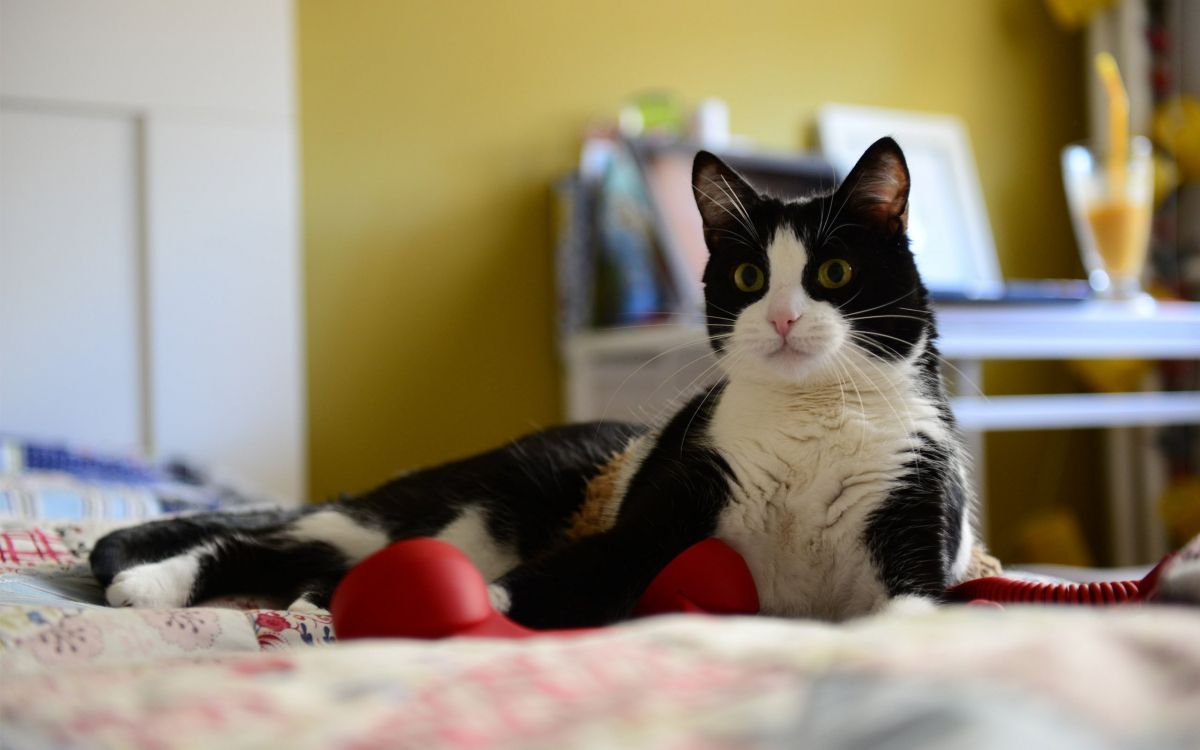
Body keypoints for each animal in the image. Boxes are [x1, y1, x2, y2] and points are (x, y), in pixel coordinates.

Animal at [93, 139, 974, 624]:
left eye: (833, 272)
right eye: (752, 276)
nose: (785, 318)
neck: (810, 419)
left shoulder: (913, 506)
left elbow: (917, 603)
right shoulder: (669, 505)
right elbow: (567, 572)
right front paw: (473, 609)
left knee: (301, 560)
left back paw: (310, 600)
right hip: (444, 518)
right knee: (265, 540)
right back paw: (151, 583)